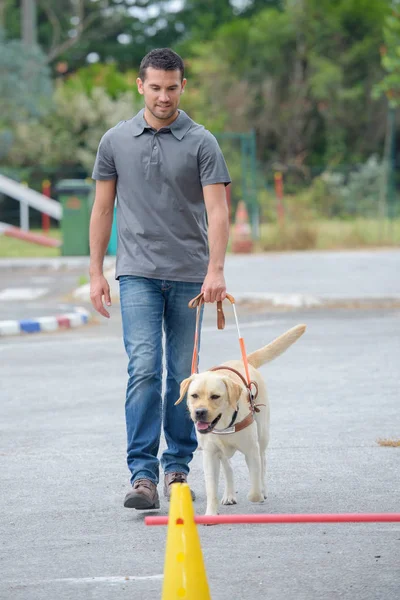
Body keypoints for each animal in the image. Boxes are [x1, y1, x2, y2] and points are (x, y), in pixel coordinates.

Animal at [176, 324, 306, 516]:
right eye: (194, 395)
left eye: (215, 396)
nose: (199, 412)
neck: (224, 425)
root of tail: (244, 361)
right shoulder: (210, 455)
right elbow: (211, 489)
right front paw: (210, 514)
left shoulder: (251, 451)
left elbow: (254, 488)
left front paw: (257, 495)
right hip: (223, 452)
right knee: (228, 468)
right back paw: (229, 494)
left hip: (262, 435)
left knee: (263, 461)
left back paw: (263, 489)